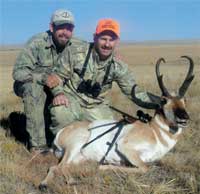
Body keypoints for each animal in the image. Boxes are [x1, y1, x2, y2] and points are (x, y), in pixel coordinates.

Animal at [38, 55, 194, 189]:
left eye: (184, 100)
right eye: (164, 100)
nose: (184, 118)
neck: (154, 131)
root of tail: (62, 132)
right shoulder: (126, 147)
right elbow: (144, 168)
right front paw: (104, 166)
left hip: (78, 158)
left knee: (59, 167)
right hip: (77, 144)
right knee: (58, 166)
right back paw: (58, 183)